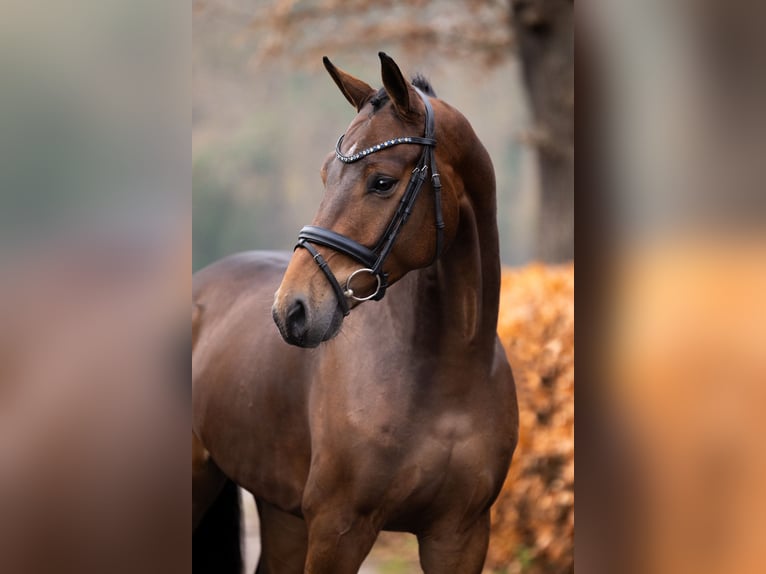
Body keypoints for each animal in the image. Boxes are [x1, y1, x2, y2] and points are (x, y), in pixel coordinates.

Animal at [192, 52, 518, 573]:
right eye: (327, 175)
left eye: (381, 182)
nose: (293, 310)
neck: (446, 378)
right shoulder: (338, 530)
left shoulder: (461, 536)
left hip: (282, 513)